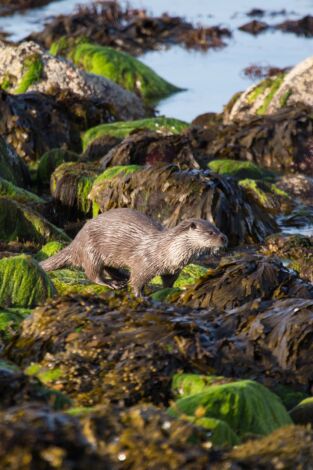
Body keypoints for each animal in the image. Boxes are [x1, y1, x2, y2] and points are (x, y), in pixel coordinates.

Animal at [40, 210, 227, 298]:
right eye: (211, 232)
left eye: (218, 228)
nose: (224, 238)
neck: (167, 250)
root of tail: (76, 241)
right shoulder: (143, 263)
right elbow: (137, 280)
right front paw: (140, 295)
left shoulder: (173, 270)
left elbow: (168, 282)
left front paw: (174, 289)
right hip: (91, 250)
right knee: (93, 273)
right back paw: (111, 283)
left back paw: (121, 277)